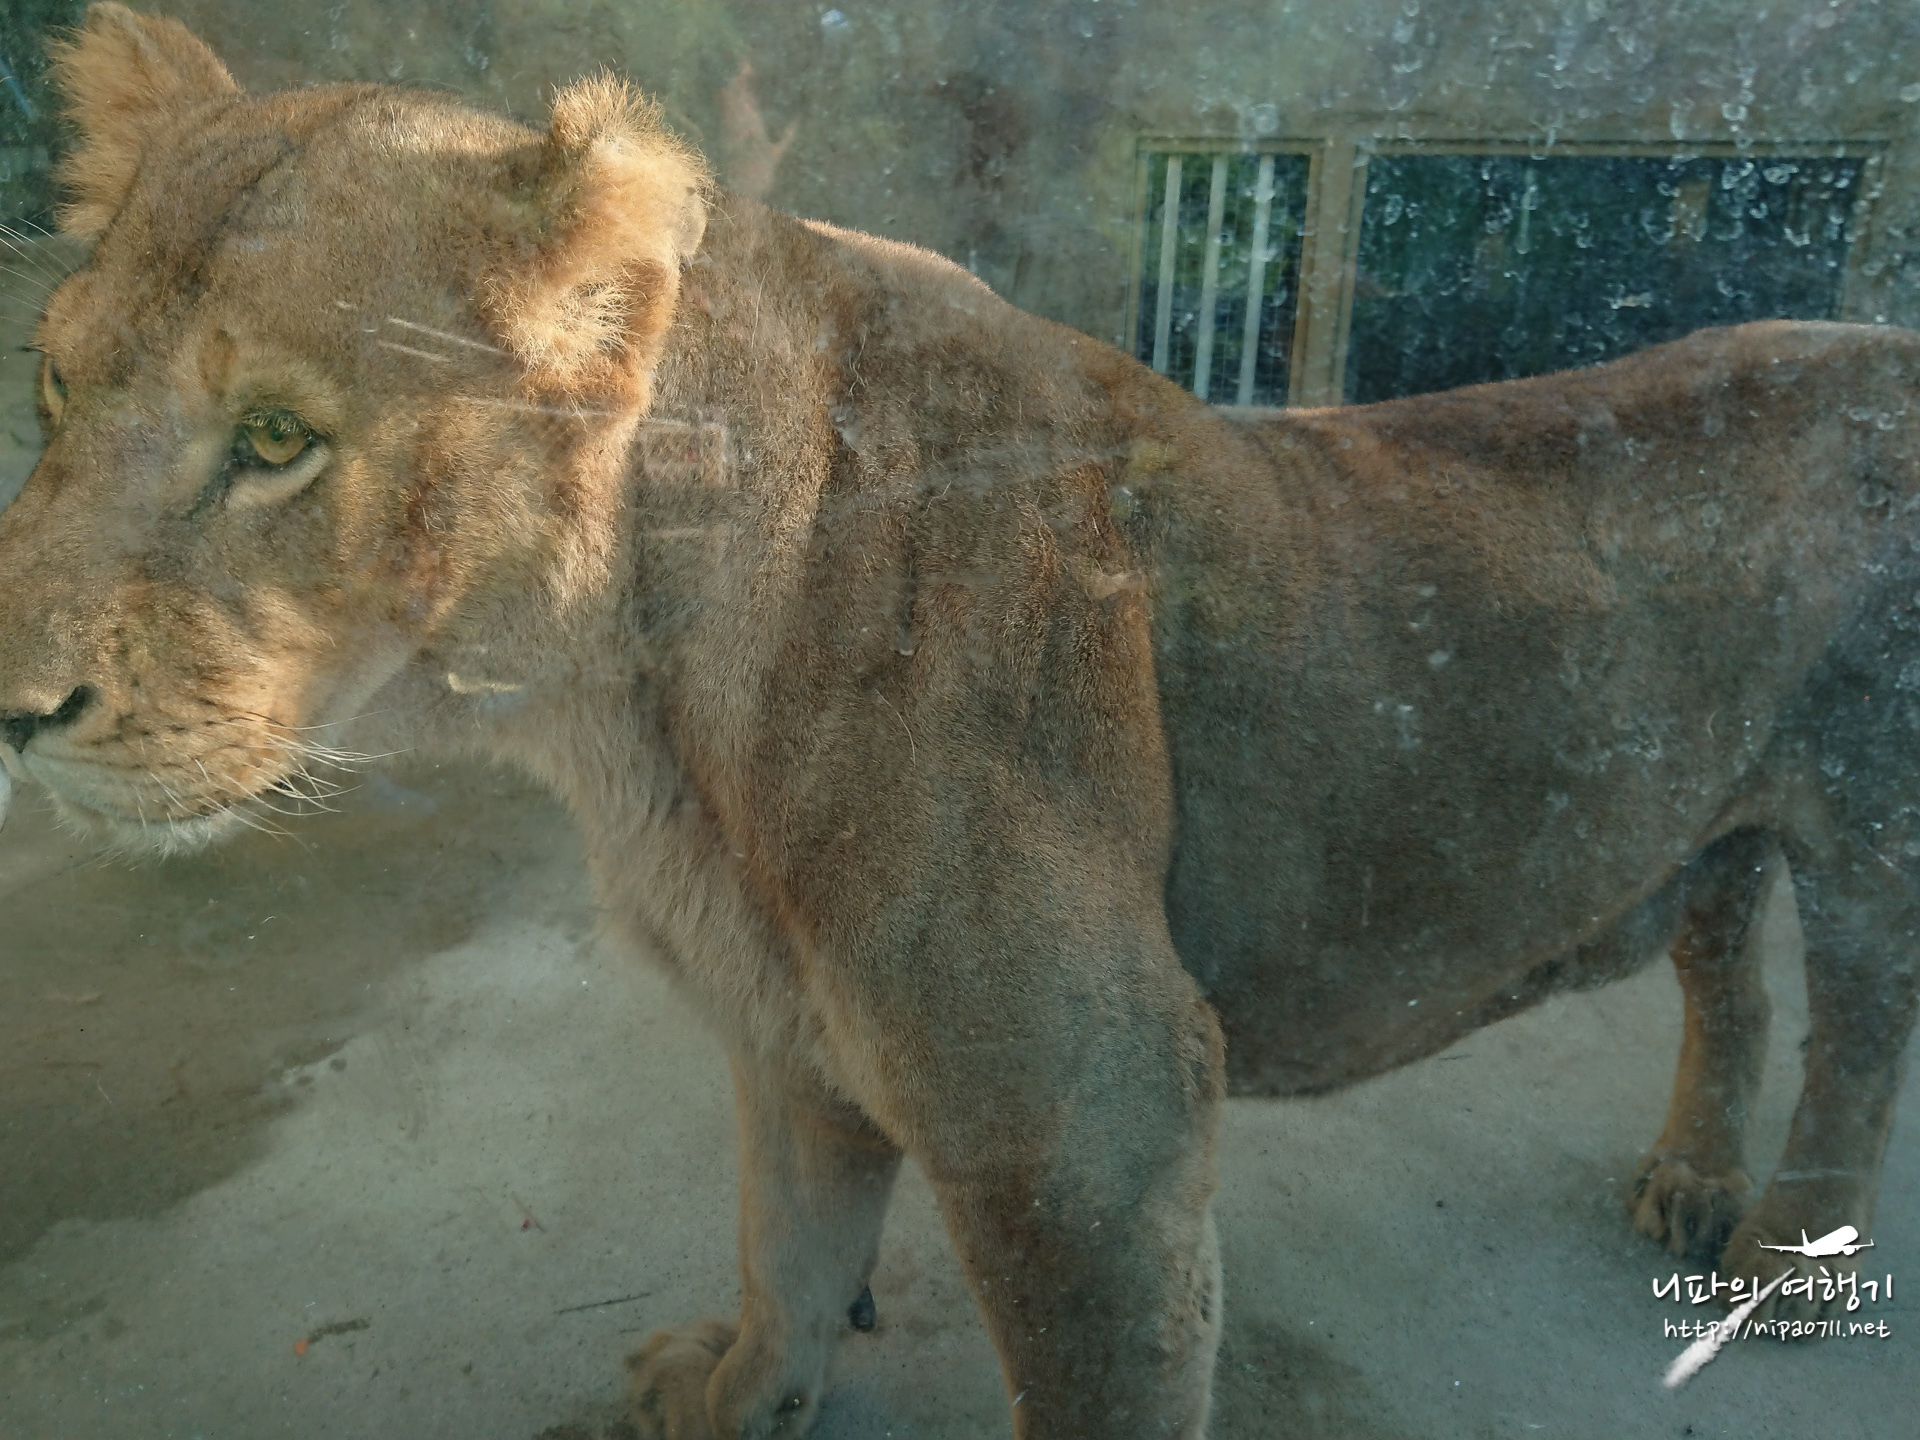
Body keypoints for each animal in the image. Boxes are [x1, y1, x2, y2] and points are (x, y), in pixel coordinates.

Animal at [1, 6, 1916, 1436]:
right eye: (54, 382)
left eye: (275, 439)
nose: (9, 709)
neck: (621, 705)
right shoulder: (787, 1027)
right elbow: (782, 1246)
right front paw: (737, 1394)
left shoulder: (1084, 1128)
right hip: (1712, 812)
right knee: (1726, 970)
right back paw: (1686, 1183)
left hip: (1870, 841)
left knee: (1854, 1042)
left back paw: (1778, 1251)